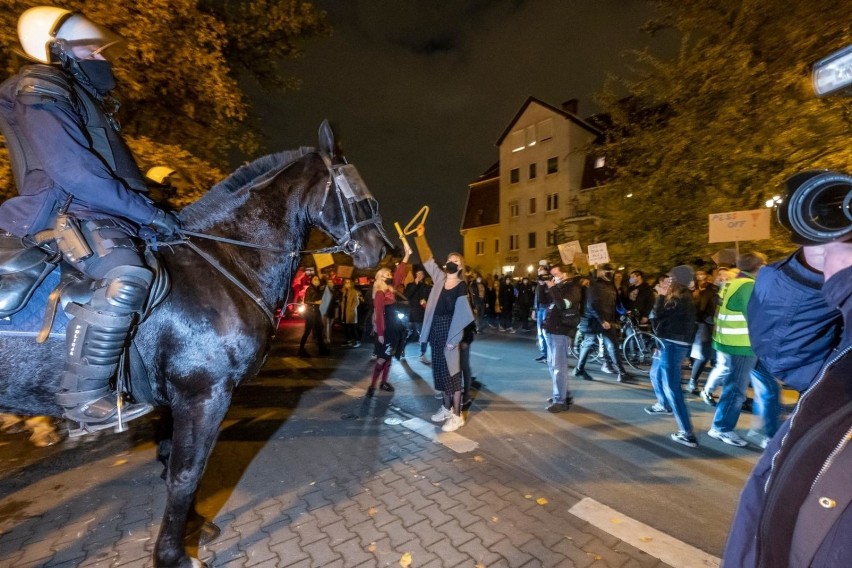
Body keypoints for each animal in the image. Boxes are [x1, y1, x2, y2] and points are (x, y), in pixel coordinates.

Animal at [0, 122, 390, 564]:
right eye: (356, 190)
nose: (382, 249)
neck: (225, 263)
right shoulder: (204, 394)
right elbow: (187, 473)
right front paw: (173, 555)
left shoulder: (178, 400)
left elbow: (171, 460)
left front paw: (193, 527)